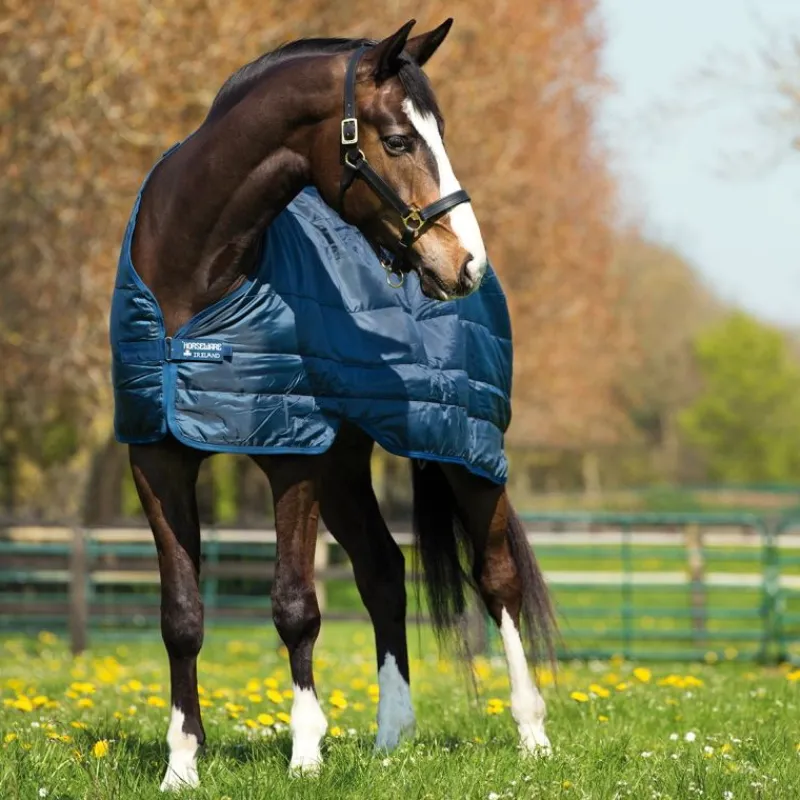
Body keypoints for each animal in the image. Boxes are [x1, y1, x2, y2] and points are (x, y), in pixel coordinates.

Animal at [115, 19, 555, 790]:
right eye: (400, 140)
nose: (466, 263)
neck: (193, 284)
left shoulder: (292, 455)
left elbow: (295, 605)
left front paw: (306, 755)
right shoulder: (158, 456)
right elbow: (181, 615)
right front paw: (182, 764)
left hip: (466, 449)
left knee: (497, 580)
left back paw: (531, 734)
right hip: (347, 468)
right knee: (383, 573)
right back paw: (391, 736)